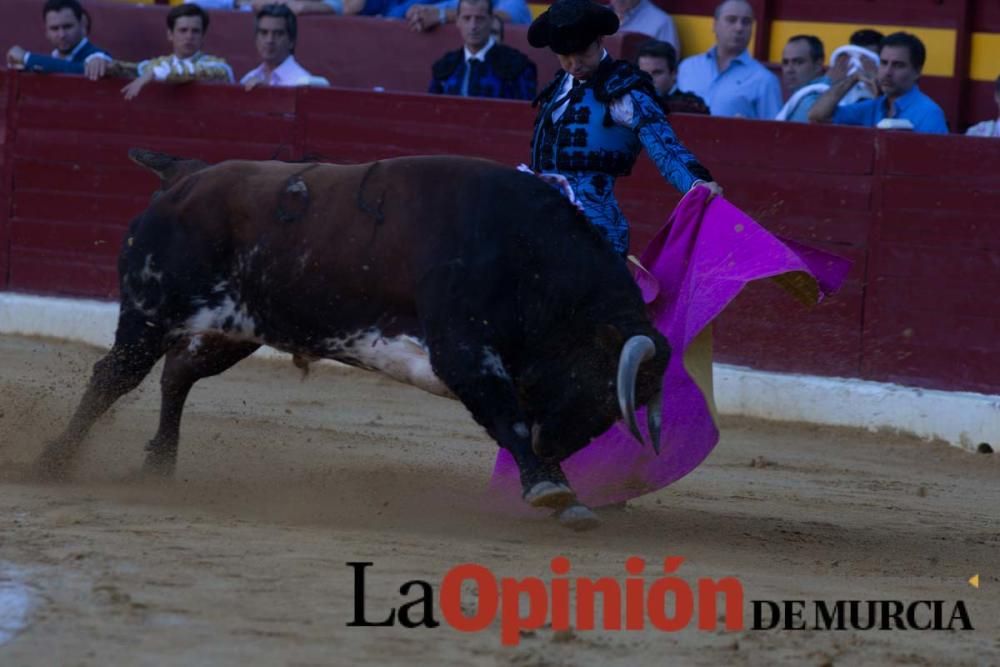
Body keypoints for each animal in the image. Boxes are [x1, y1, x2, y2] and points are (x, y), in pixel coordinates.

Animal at [39, 153, 668, 532]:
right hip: (150, 311)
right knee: (115, 376)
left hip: (232, 329)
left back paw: (159, 464)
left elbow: (512, 415)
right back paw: (54, 460)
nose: (553, 444)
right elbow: (506, 416)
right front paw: (549, 487)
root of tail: (183, 180)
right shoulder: (463, 351)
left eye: (617, 411)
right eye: (595, 384)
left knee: (177, 375)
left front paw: (562, 491)